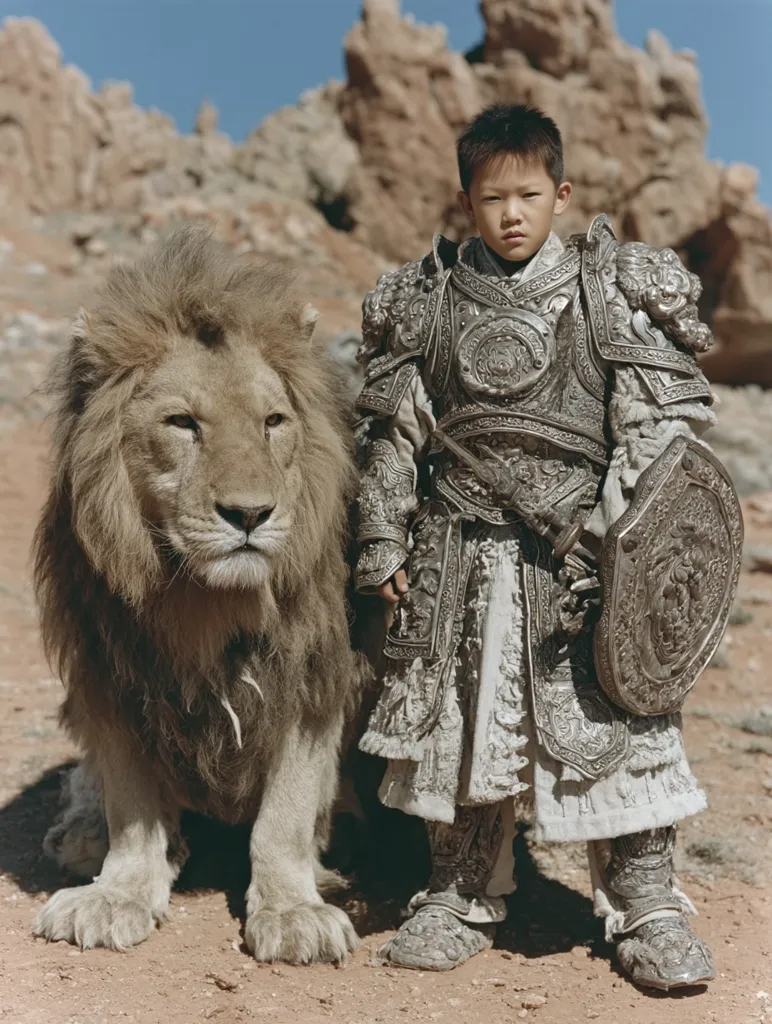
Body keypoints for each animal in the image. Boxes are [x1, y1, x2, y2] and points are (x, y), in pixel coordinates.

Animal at [31, 227, 363, 963]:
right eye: (182, 423)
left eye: (273, 421)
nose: (251, 514)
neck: (201, 599)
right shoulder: (110, 670)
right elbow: (130, 802)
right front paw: (119, 892)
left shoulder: (314, 672)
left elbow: (285, 814)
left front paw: (293, 911)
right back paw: (83, 836)